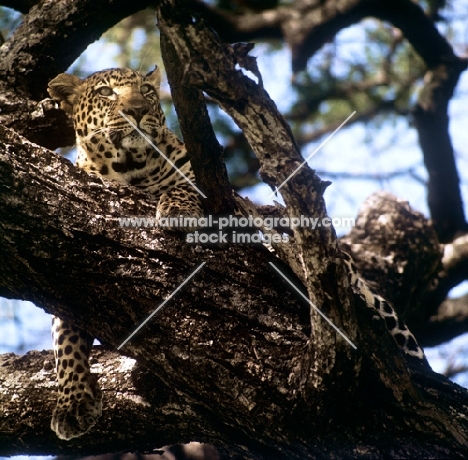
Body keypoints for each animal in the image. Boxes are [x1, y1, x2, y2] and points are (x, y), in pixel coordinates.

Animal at [48, 66, 205, 440]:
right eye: (106, 92)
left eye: (146, 90)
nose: (137, 110)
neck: (127, 170)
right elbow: (65, 341)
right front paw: (73, 402)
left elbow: (183, 183)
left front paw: (178, 208)